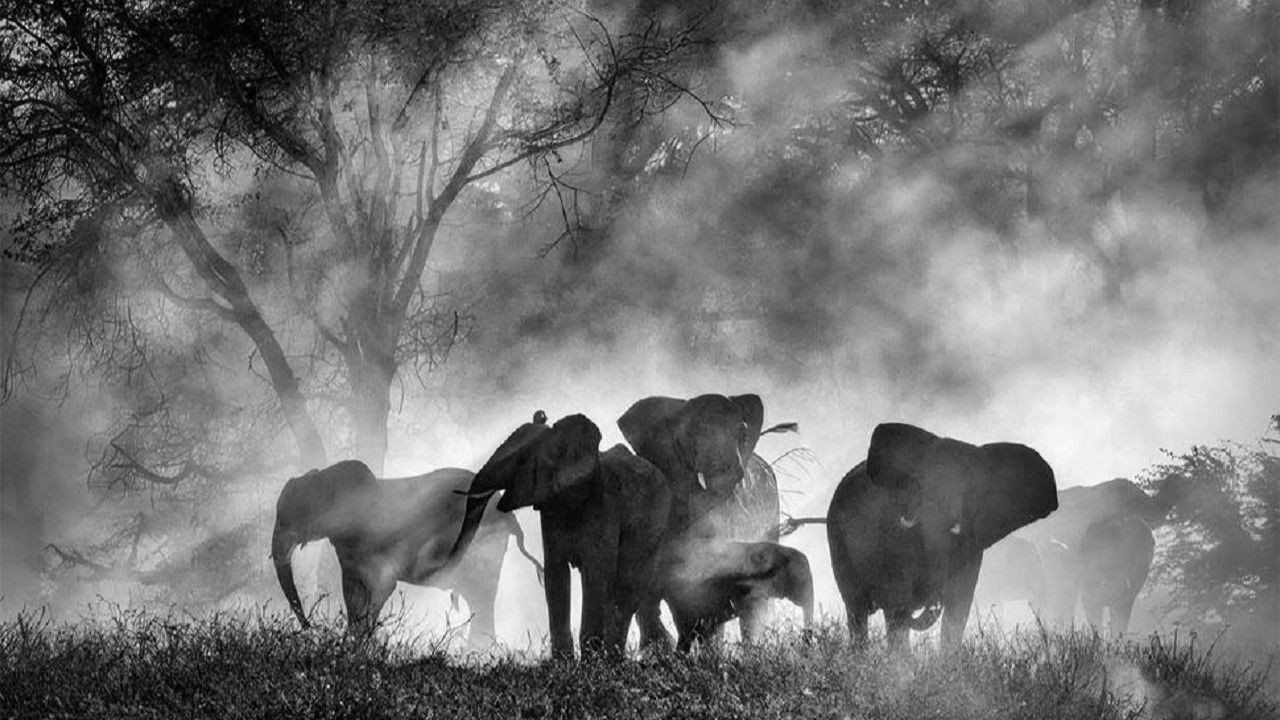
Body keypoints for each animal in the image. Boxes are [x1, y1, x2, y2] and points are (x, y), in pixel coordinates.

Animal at [270, 460, 542, 641]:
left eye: (286, 519)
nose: (311, 628)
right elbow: (352, 592)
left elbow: (382, 587)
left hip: (484, 546)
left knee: (481, 596)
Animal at [450, 412, 673, 659]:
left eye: (520, 461)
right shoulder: (550, 509)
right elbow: (555, 575)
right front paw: (562, 661)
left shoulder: (604, 506)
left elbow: (596, 574)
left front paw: (590, 662)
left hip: (655, 527)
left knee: (627, 588)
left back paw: (616, 658)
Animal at [827, 423, 1058, 649]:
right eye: (921, 485)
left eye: (969, 491)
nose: (934, 597)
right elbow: (897, 602)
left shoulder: (971, 543)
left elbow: (958, 606)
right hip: (837, 539)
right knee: (857, 609)